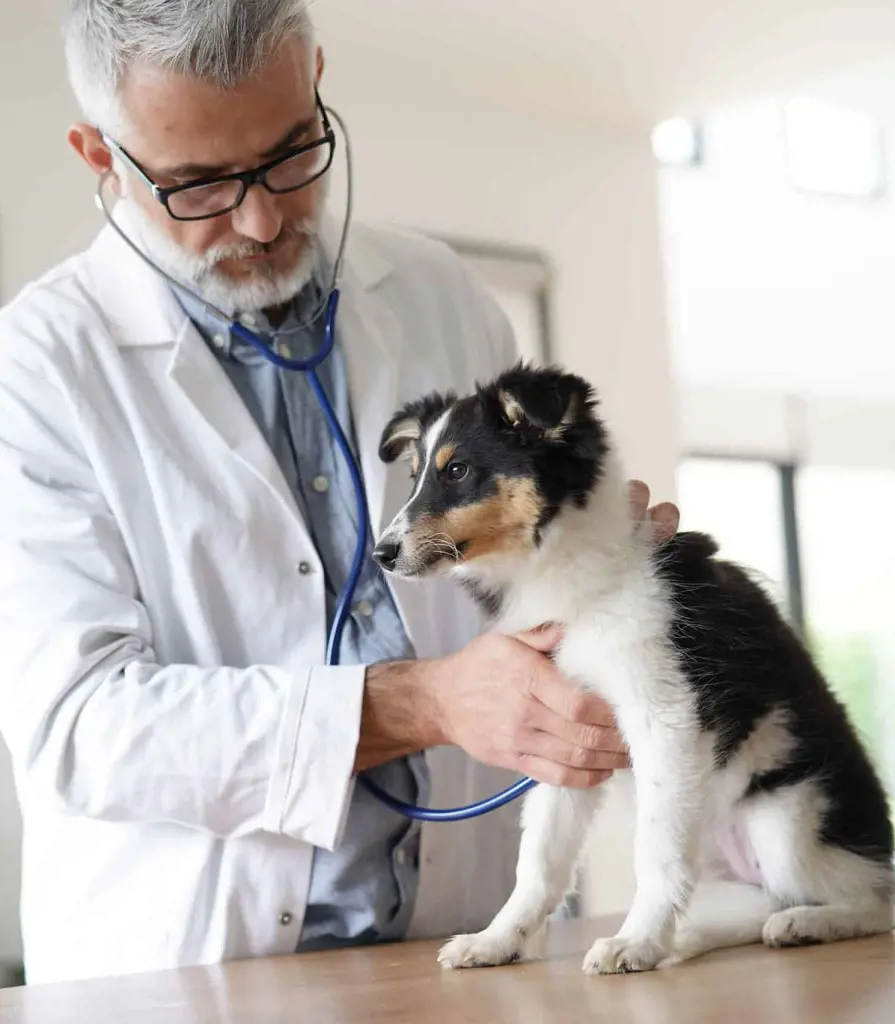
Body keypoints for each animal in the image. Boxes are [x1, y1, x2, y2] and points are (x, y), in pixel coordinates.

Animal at [370, 362, 892, 974]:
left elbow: (656, 849)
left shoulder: (665, 714)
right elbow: (539, 860)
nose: (381, 554)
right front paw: (497, 941)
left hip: (786, 820)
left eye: (457, 470)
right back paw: (695, 936)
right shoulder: (558, 734)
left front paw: (635, 942)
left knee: (873, 899)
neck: (576, 574)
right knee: (756, 901)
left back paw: (804, 924)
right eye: (414, 476)